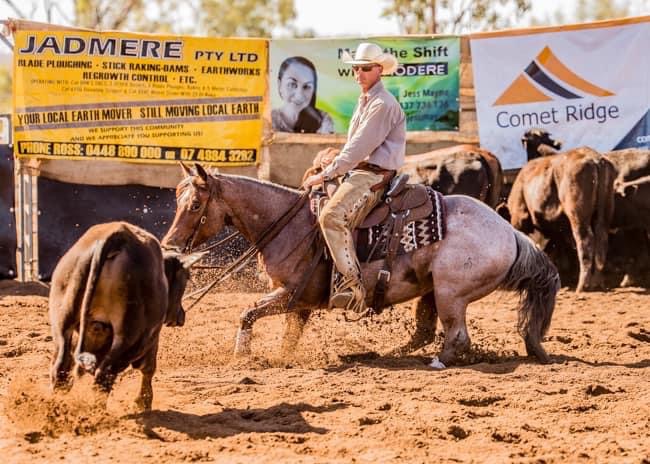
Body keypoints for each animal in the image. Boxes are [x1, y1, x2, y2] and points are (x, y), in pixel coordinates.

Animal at [48, 221, 199, 411]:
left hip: (63, 321)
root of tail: (117, 237)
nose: (181, 316)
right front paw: (143, 401)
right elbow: (149, 367)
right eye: (186, 277)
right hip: (131, 338)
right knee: (104, 375)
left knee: (61, 367)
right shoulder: (151, 336)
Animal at [162, 163, 560, 367]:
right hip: (433, 289)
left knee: (457, 335)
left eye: (194, 205)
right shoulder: (300, 304)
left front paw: (241, 357)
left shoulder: (289, 294)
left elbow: (246, 313)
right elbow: (289, 337)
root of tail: (509, 233)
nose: (170, 245)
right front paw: (280, 359)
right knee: (425, 330)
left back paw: (437, 361)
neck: (289, 224)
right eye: (176, 199)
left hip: (451, 292)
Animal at [508, 129, 616, 292]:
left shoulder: (519, 218)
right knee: (601, 238)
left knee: (585, 242)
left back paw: (582, 285)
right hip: (603, 213)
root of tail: (595, 159)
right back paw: (597, 281)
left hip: (578, 216)